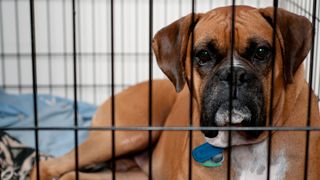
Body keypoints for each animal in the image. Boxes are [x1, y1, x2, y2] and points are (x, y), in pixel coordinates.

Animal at [30, 5, 320, 180]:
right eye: (203, 55)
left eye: (261, 52)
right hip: (125, 135)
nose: (234, 74)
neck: (246, 147)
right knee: (49, 165)